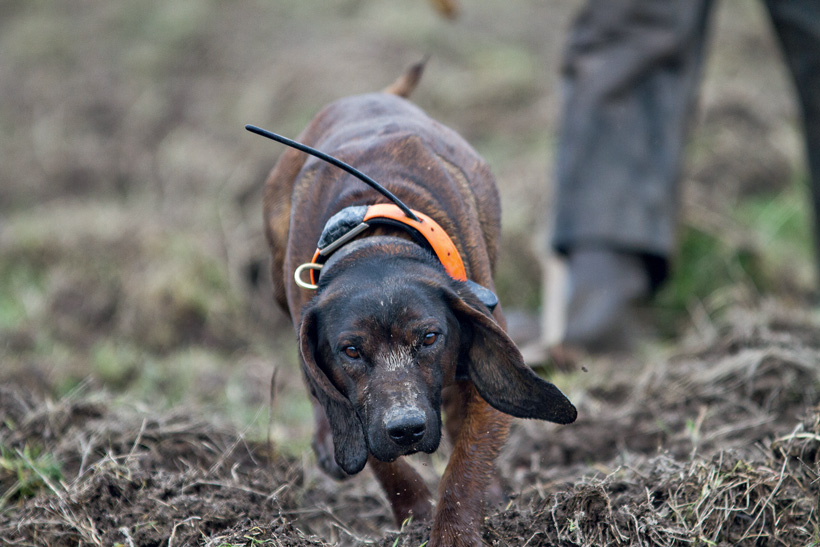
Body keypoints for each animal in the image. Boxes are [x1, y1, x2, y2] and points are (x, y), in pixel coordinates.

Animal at [260, 65, 572, 547]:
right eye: (351, 350)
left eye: (429, 338)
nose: (406, 428)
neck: (376, 242)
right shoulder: (354, 395)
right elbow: (378, 455)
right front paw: (415, 512)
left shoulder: (482, 360)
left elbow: (466, 465)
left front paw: (455, 530)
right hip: (280, 280)